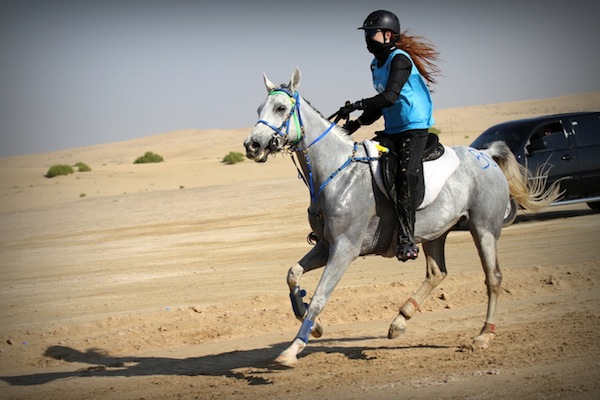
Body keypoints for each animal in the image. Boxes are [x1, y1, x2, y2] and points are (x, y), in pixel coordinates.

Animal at [241, 67, 560, 368]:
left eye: (281, 108)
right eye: (258, 109)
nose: (252, 145)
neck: (337, 172)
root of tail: (486, 154)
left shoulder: (345, 249)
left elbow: (320, 296)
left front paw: (293, 349)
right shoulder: (326, 244)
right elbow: (292, 275)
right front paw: (313, 323)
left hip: (484, 229)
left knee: (493, 277)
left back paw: (483, 335)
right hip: (436, 233)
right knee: (437, 272)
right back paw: (399, 321)